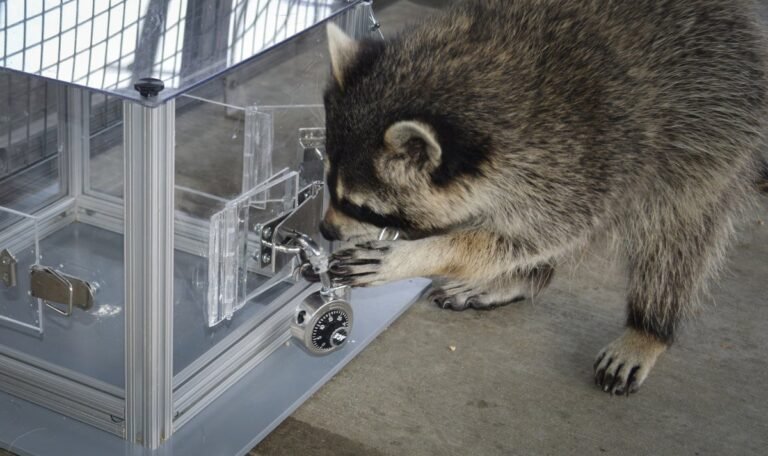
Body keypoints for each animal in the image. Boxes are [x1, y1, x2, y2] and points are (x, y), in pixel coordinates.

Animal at [318, 0, 768, 395]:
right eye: (328, 186)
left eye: (358, 205)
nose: (325, 229)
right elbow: (518, 236)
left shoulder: (583, 164)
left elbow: (528, 237)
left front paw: (421, 254)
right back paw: (525, 277)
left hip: (713, 135)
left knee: (676, 237)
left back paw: (648, 327)